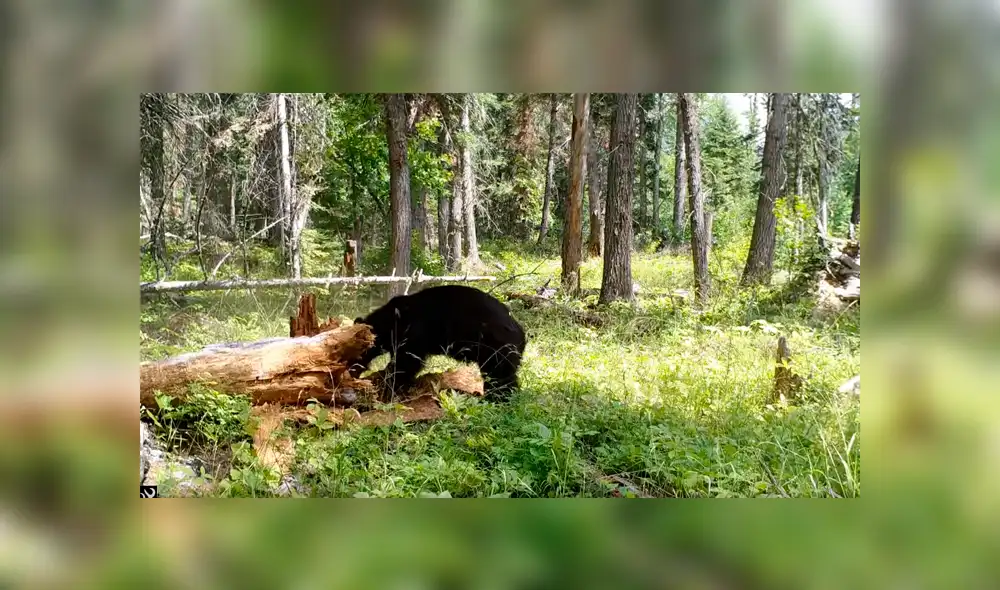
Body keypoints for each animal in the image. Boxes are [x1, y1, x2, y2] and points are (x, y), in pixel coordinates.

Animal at [351, 285, 527, 402]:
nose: (351, 370)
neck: (392, 322)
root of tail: (521, 332)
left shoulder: (415, 334)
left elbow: (407, 362)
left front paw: (390, 384)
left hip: (496, 348)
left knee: (500, 375)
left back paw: (499, 397)